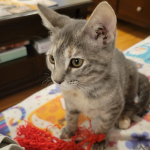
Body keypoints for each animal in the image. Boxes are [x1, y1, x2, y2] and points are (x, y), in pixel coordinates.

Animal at [37, 1, 150, 149]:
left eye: (76, 62)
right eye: (52, 59)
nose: (56, 80)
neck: (83, 90)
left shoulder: (115, 105)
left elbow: (105, 125)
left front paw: (98, 139)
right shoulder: (69, 102)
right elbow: (71, 116)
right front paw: (70, 130)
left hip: (130, 81)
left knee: (130, 102)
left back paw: (124, 117)